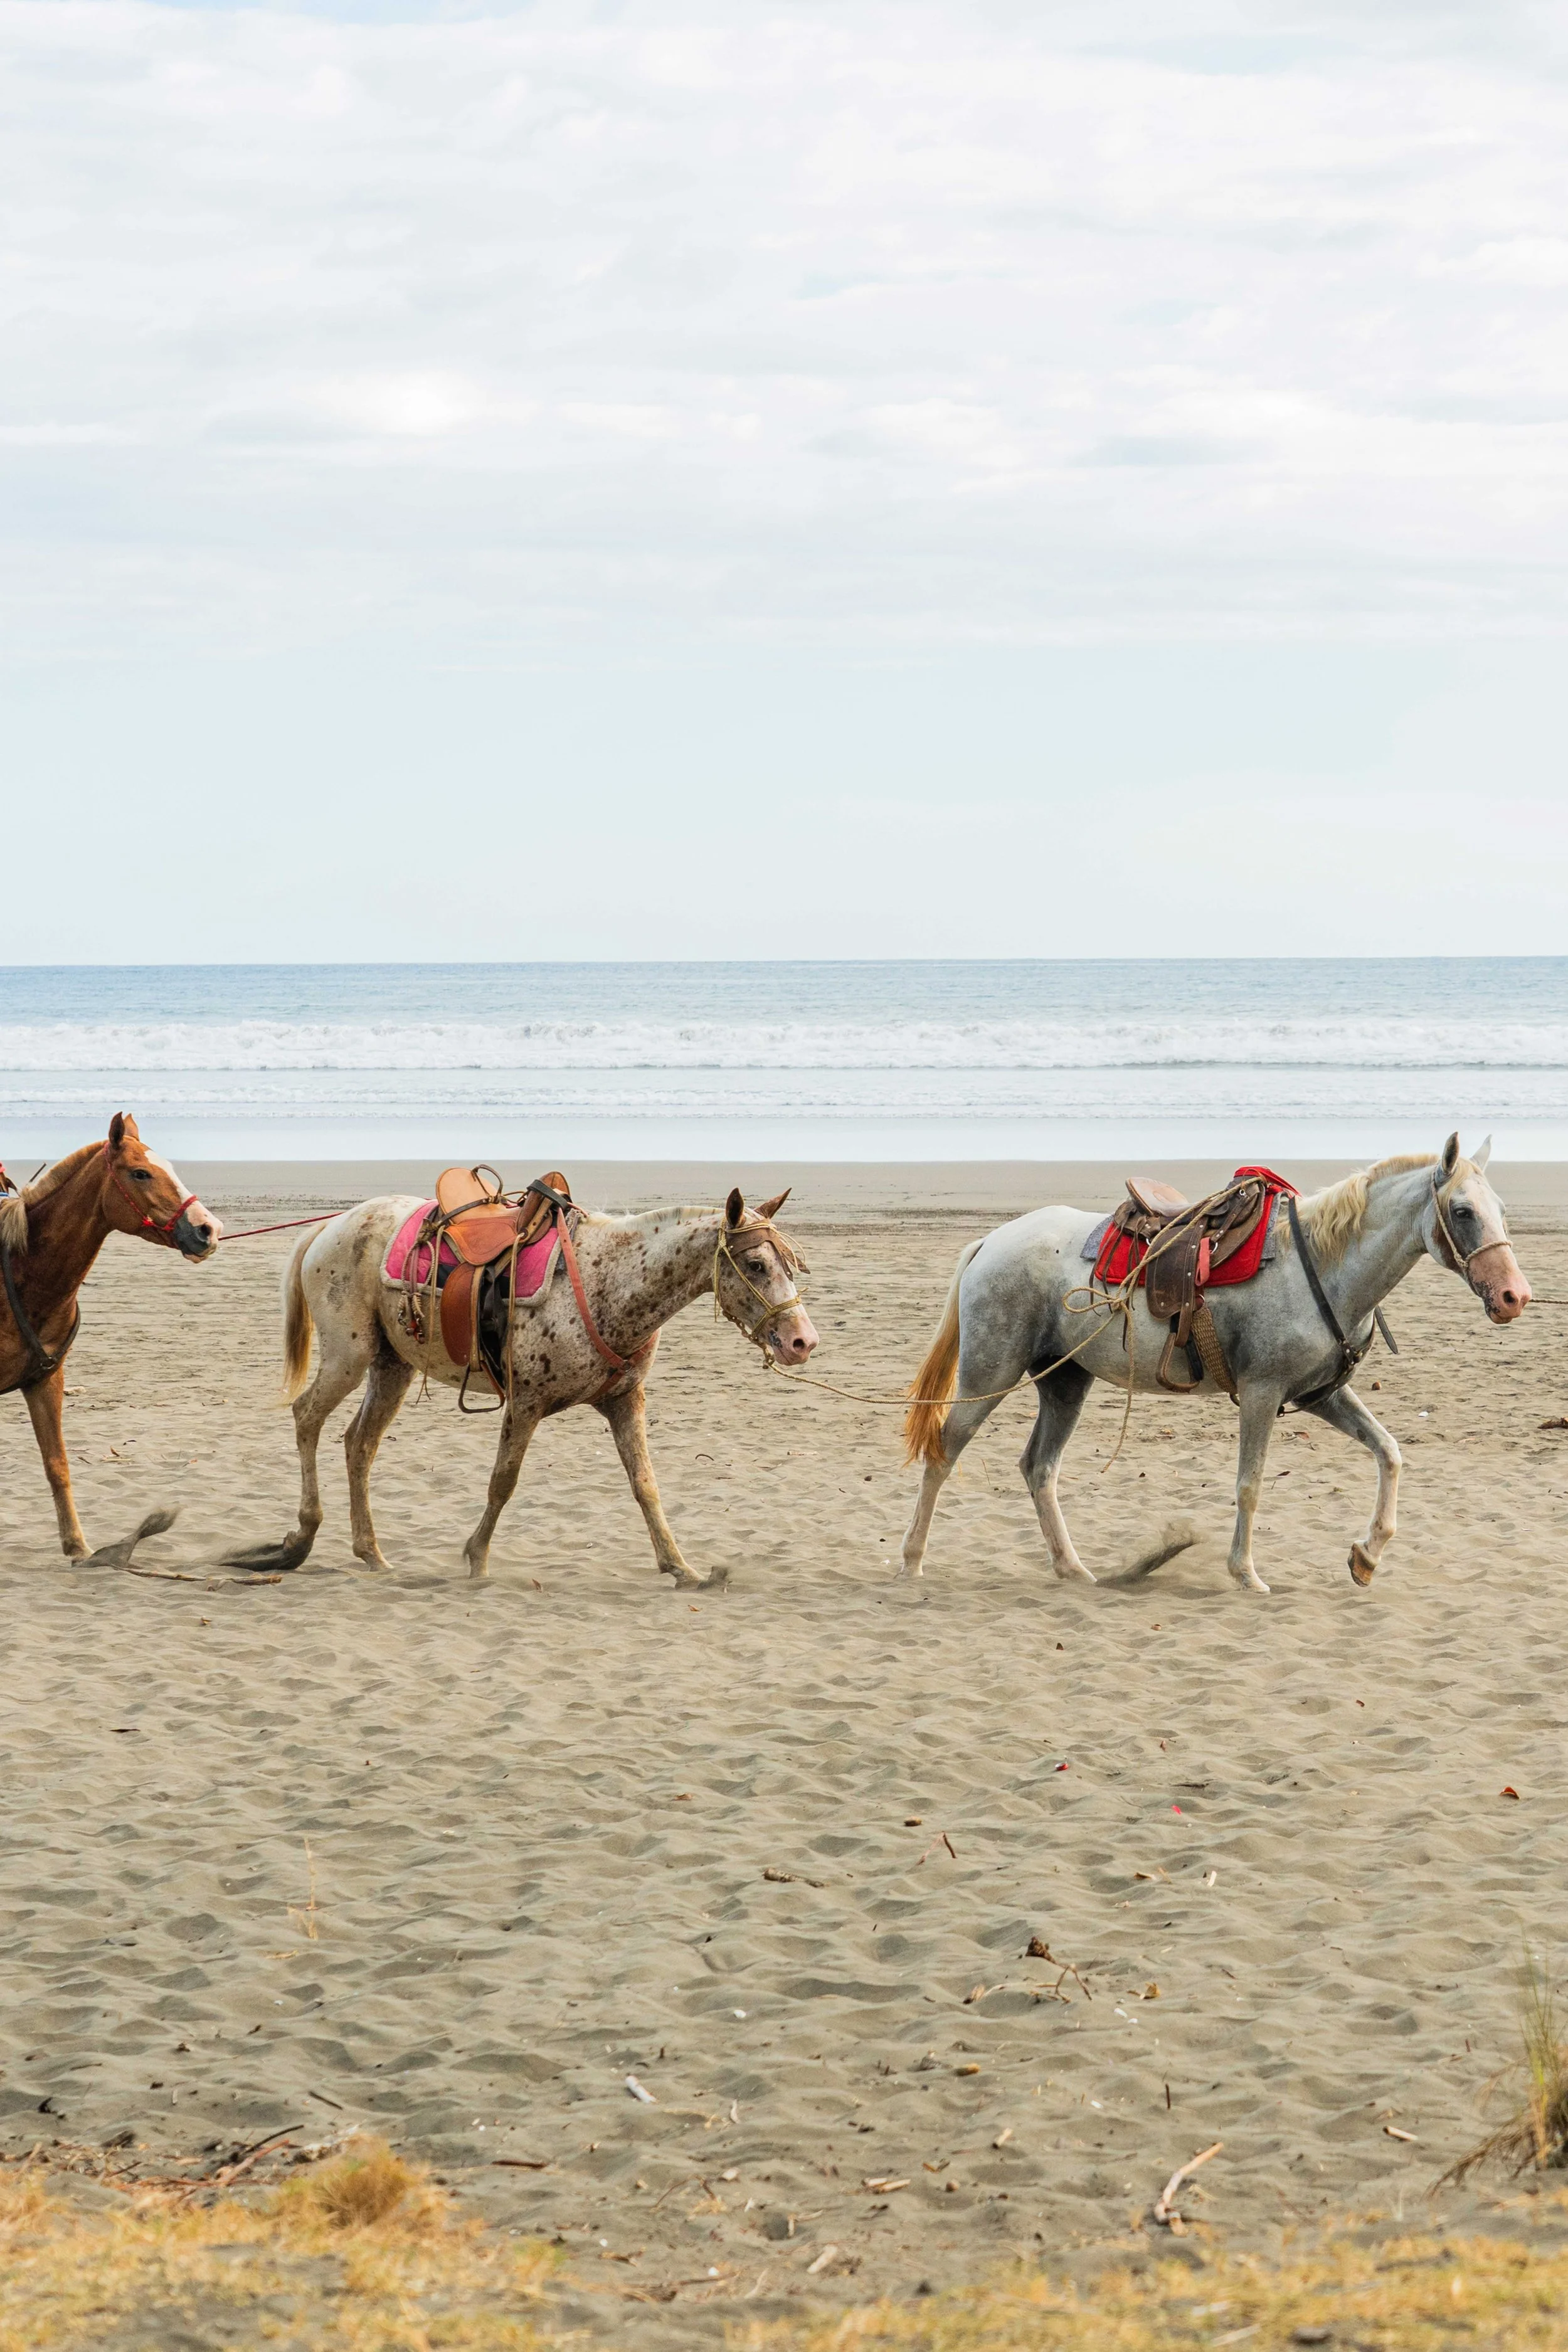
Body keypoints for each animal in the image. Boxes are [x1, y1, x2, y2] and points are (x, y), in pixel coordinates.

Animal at [0, 1114, 222, 1558]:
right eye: (140, 1173)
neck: (21, 1272)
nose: (209, 1229)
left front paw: (76, 1547)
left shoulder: (46, 1381)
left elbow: (57, 1465)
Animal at [227, 1184, 818, 1585]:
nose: (802, 1341)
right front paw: (477, 1562)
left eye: (793, 1264)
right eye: (756, 1264)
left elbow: (645, 1486)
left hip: (392, 1366)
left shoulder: (624, 1401)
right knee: (308, 1417)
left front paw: (682, 1568)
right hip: (350, 1357)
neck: (612, 1281)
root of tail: (330, 1228)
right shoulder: (527, 1401)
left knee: (359, 1444)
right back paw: (301, 1538)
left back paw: (370, 1551)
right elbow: (503, 1483)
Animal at [900, 1135, 1531, 1596]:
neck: (1322, 1266)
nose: (1513, 1297)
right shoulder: (1262, 1392)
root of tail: (990, 1242)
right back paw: (912, 1561)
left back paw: (1073, 1569)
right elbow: (1250, 1484)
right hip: (989, 1375)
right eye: (1462, 1211)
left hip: (1064, 1383)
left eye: (1501, 1210)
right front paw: (1245, 1574)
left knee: (1039, 1468)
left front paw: (1367, 1555)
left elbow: (1390, 1452)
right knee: (944, 1452)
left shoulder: (1322, 1395)